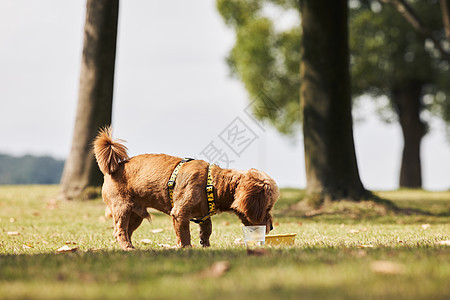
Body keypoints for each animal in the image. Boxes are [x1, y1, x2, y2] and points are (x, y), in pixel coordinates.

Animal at [94, 127, 278, 250]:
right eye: (267, 207)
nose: (271, 227)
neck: (211, 184)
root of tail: (113, 168)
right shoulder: (180, 213)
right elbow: (184, 233)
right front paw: (186, 247)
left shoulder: (203, 215)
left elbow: (207, 229)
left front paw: (206, 246)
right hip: (122, 208)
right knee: (119, 231)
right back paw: (127, 247)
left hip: (136, 214)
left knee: (126, 231)